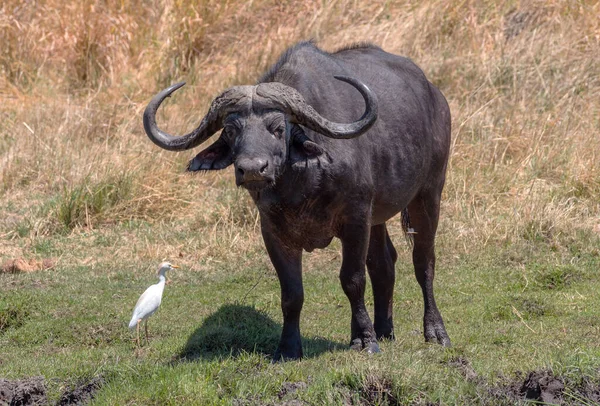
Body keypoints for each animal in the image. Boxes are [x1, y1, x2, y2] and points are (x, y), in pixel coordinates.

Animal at [144, 40, 450, 358]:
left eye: (279, 128)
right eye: (230, 130)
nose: (252, 169)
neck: (304, 185)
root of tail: (435, 96)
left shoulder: (355, 218)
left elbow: (352, 280)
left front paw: (366, 340)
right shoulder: (274, 231)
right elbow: (291, 292)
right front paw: (289, 347)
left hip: (428, 194)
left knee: (423, 262)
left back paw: (435, 332)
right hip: (377, 216)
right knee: (384, 264)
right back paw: (384, 330)